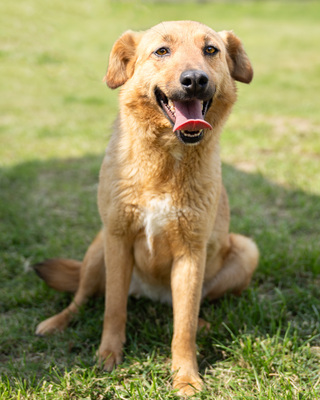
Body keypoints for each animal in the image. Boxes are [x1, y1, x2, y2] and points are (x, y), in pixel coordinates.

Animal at [34, 20, 260, 396]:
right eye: (162, 51)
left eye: (210, 50)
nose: (195, 79)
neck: (166, 160)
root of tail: (150, 294)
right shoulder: (117, 239)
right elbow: (113, 308)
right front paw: (108, 355)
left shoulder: (191, 253)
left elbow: (183, 328)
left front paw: (185, 376)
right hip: (98, 249)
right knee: (81, 296)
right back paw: (57, 321)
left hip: (245, 250)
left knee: (188, 311)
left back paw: (203, 322)